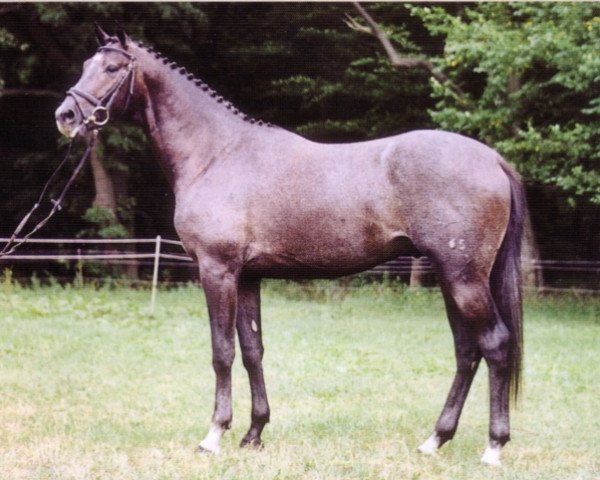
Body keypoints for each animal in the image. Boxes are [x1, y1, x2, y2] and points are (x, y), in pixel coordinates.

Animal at [56, 26, 524, 464]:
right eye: (84, 65)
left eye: (111, 68)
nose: (65, 115)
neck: (217, 154)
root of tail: (493, 159)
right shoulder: (248, 277)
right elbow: (252, 351)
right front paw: (253, 433)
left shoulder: (217, 271)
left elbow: (222, 351)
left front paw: (214, 434)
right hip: (450, 277)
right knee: (467, 352)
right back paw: (435, 440)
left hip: (463, 279)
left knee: (496, 346)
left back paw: (493, 447)